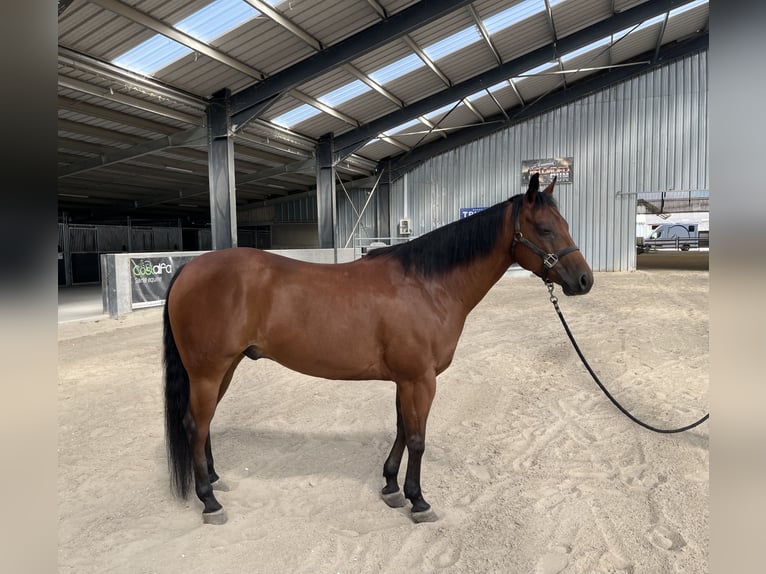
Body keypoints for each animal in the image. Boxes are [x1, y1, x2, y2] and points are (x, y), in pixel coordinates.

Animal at [163, 172, 593, 525]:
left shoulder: (407, 380)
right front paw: (418, 500)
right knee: (195, 424)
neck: (427, 286)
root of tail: (188, 269)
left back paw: (215, 480)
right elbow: (418, 438)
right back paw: (209, 500)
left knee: (204, 423)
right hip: (207, 371)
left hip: (226, 367)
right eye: (544, 228)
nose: (584, 280)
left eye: (566, 225)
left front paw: (390, 486)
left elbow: (403, 428)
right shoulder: (420, 380)